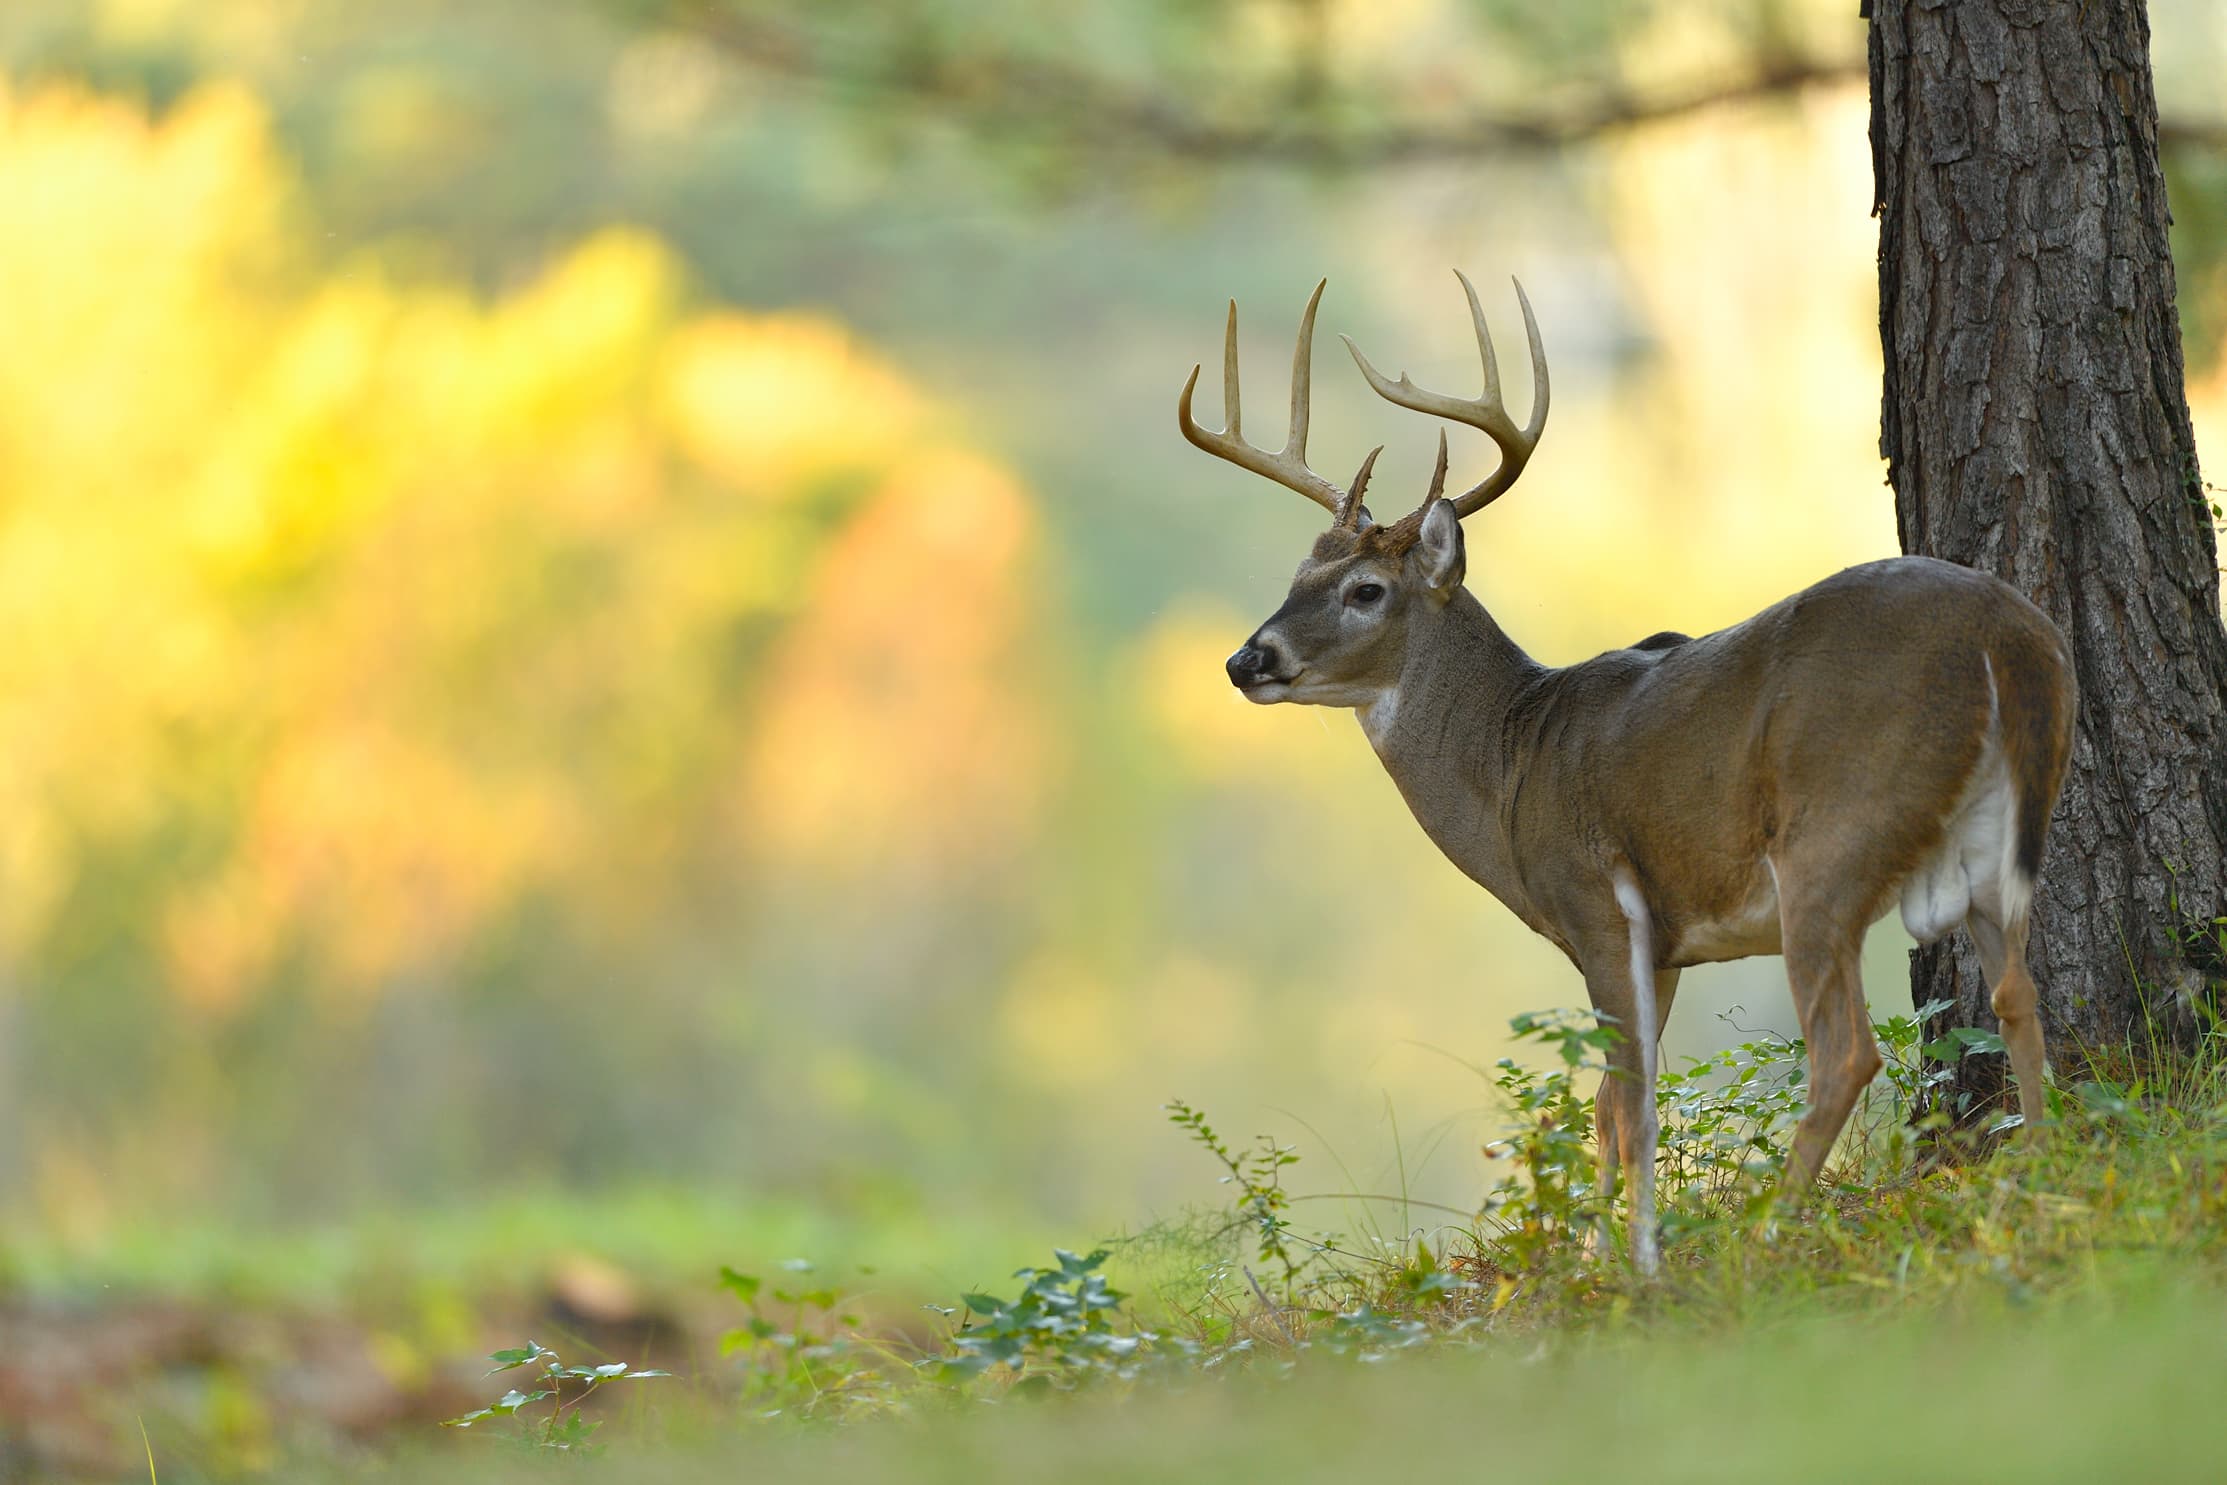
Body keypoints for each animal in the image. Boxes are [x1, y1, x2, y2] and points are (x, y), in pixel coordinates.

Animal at [1184, 272, 2066, 1273]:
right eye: (1298, 574)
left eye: (1364, 590)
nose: (1246, 660)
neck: (1513, 760)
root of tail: (2006, 636)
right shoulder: (1669, 941)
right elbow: (1609, 1103)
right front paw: (1597, 1247)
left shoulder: (1598, 904)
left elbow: (1629, 1095)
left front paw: (1627, 1261)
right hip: (1992, 840)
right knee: (2017, 996)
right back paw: (2044, 1187)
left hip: (1834, 835)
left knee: (1844, 1050)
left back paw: (1765, 1233)